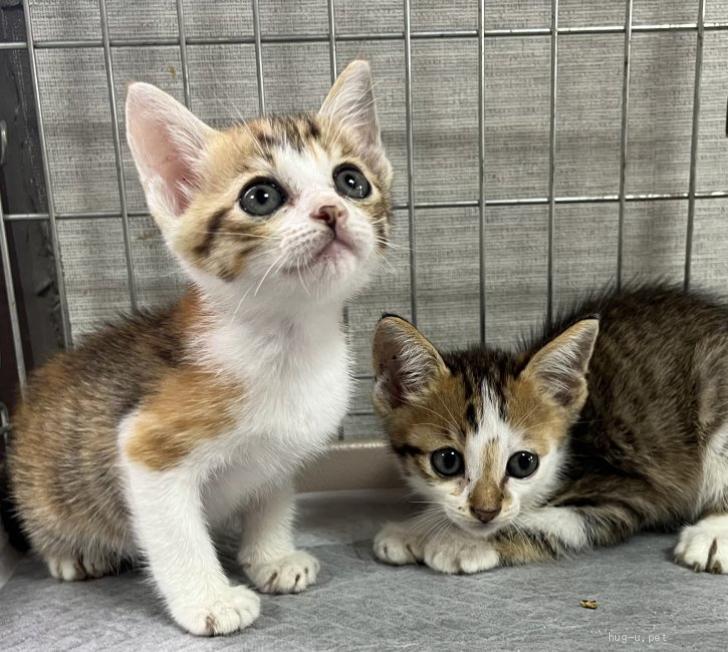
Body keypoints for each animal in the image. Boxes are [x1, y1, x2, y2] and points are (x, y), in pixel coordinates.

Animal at [4, 58, 392, 636]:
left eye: (351, 181)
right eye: (261, 197)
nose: (332, 210)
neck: (289, 341)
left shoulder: (283, 448)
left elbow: (272, 496)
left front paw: (271, 556)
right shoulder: (148, 447)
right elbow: (177, 535)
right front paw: (208, 600)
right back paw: (73, 552)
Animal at [372, 286, 728, 576]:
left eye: (523, 463)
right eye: (447, 461)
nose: (486, 512)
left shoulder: (629, 491)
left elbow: (539, 520)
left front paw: (457, 542)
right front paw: (415, 529)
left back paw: (712, 535)